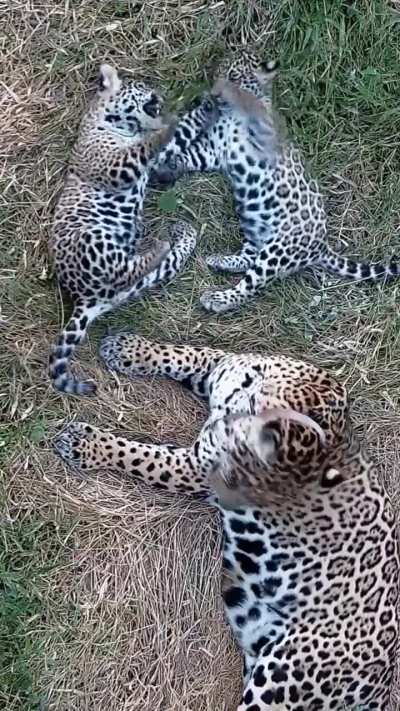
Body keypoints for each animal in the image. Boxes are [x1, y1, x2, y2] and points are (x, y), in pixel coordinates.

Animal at [49, 62, 218, 396]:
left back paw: (177, 238)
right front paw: (165, 122)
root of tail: (85, 299)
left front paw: (205, 106)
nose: (161, 96)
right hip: (91, 240)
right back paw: (159, 243)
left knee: (141, 268)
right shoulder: (113, 163)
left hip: (129, 283)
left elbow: (183, 130)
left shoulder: (152, 157)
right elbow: (149, 142)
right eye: (141, 86)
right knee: (122, 268)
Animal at [54, 331, 399, 710]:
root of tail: (382, 683)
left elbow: (144, 456)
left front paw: (86, 444)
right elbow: (186, 354)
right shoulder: (219, 369)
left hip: (287, 672)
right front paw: (128, 349)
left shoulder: (197, 466)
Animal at [150, 49, 400, 314]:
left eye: (234, 77)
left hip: (280, 247)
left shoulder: (260, 138)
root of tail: (321, 246)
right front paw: (168, 167)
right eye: (217, 75)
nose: (215, 94)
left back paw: (219, 298)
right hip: (254, 226)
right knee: (249, 257)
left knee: (252, 284)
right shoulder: (213, 150)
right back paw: (220, 261)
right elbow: (191, 154)